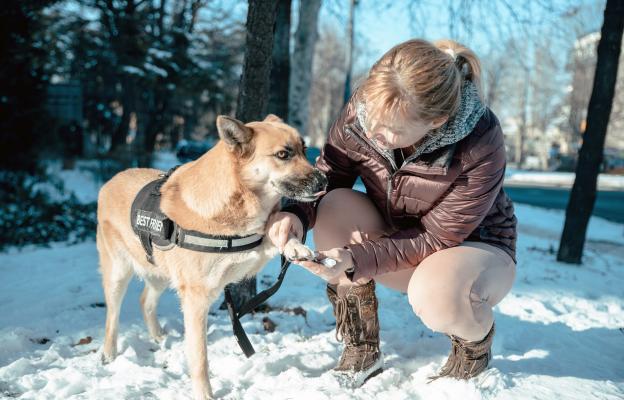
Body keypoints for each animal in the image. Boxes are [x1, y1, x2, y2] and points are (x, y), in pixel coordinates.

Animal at [96, 114, 326, 398]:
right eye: (283, 154)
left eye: (304, 150)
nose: (324, 182)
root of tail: (110, 181)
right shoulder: (196, 299)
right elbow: (200, 357)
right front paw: (204, 393)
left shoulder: (254, 247)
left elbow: (275, 232)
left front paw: (294, 246)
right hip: (117, 274)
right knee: (112, 315)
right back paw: (109, 352)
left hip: (160, 274)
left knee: (145, 301)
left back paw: (159, 337)